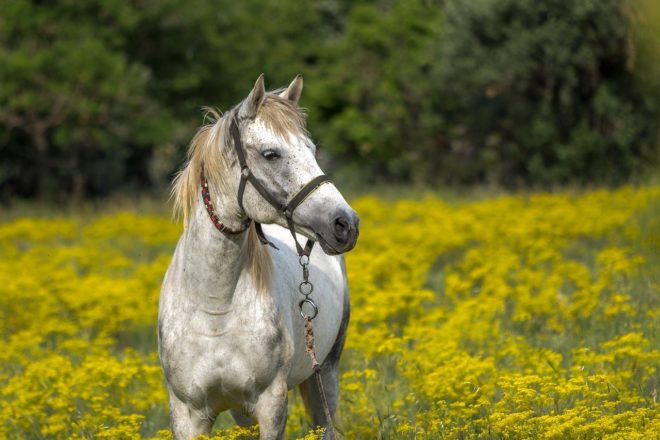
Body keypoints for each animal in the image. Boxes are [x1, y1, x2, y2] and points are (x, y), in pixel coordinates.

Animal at [158, 74, 359, 440]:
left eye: (311, 150)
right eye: (271, 154)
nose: (346, 224)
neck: (215, 308)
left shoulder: (271, 405)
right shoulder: (187, 413)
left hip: (325, 375)